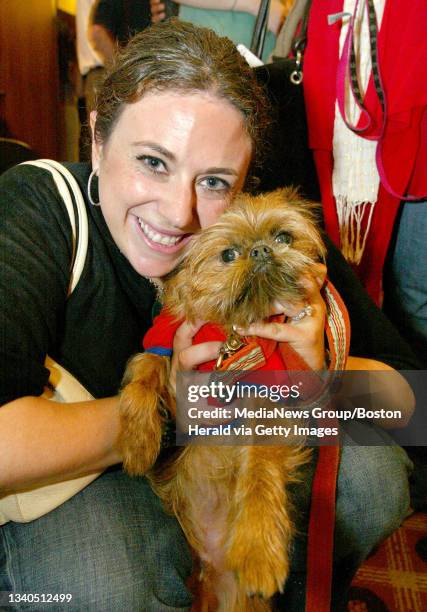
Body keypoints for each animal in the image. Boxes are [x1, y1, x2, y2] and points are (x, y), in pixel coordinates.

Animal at [118, 188, 328, 612]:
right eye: (228, 254)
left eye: (284, 237)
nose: (261, 250)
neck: (233, 328)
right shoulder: (166, 342)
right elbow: (144, 376)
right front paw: (137, 442)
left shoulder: (267, 395)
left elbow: (260, 469)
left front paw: (258, 551)